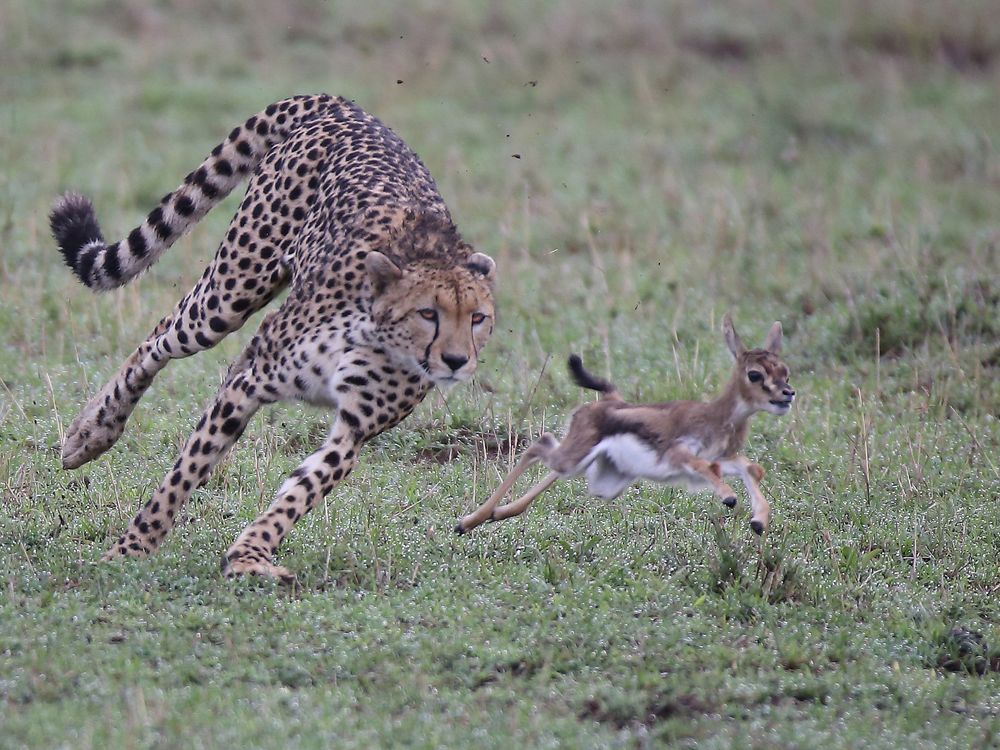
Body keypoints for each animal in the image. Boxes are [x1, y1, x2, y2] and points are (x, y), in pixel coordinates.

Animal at [50, 94, 496, 584]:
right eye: (428, 314)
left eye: (478, 318)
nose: (456, 360)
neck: (374, 334)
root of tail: (345, 106)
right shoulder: (247, 382)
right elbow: (184, 473)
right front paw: (132, 548)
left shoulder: (353, 430)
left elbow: (303, 489)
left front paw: (250, 555)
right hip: (231, 291)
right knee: (161, 336)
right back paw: (92, 432)